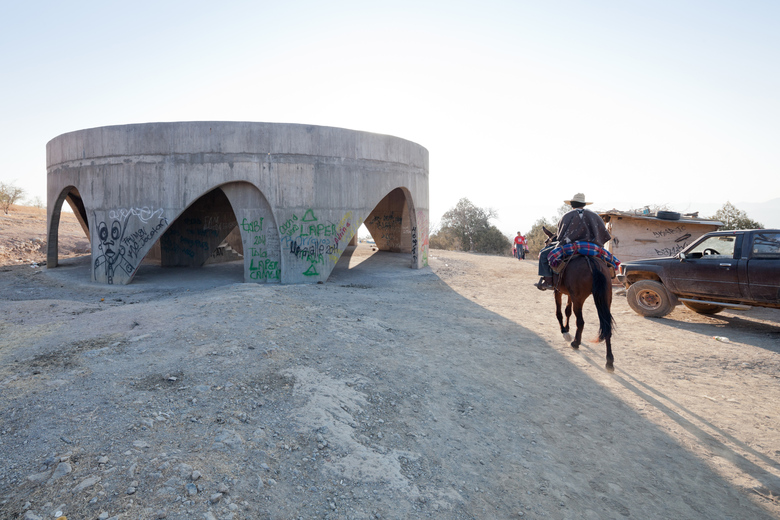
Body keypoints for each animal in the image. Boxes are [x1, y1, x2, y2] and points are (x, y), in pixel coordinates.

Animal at [542, 227, 616, 372]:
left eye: (547, 241)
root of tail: (592, 262)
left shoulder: (558, 291)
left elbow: (559, 313)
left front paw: (564, 331)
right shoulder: (570, 295)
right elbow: (567, 311)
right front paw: (567, 328)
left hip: (579, 299)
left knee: (581, 321)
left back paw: (576, 343)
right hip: (605, 299)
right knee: (607, 326)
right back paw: (609, 361)